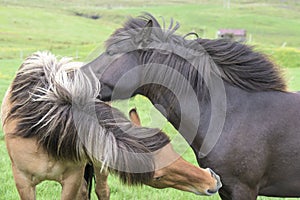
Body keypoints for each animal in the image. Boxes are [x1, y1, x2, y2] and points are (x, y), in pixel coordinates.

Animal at [0, 52, 220, 200]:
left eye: (173, 150)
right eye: (158, 177)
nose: (212, 181)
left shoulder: (72, 178)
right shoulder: (23, 181)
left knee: (100, 190)